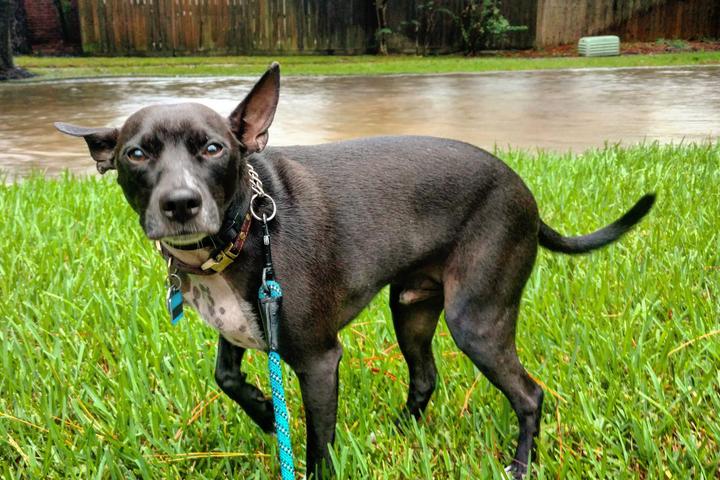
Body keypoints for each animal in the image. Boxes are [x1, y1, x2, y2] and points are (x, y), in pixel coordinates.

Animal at [54, 62, 652, 478]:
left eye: (213, 148)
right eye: (136, 154)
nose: (180, 203)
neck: (244, 230)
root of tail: (522, 190)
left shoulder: (319, 361)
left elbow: (318, 444)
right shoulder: (239, 327)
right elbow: (226, 377)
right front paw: (268, 414)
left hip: (477, 321)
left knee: (529, 395)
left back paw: (520, 464)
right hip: (411, 309)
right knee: (425, 376)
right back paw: (400, 433)